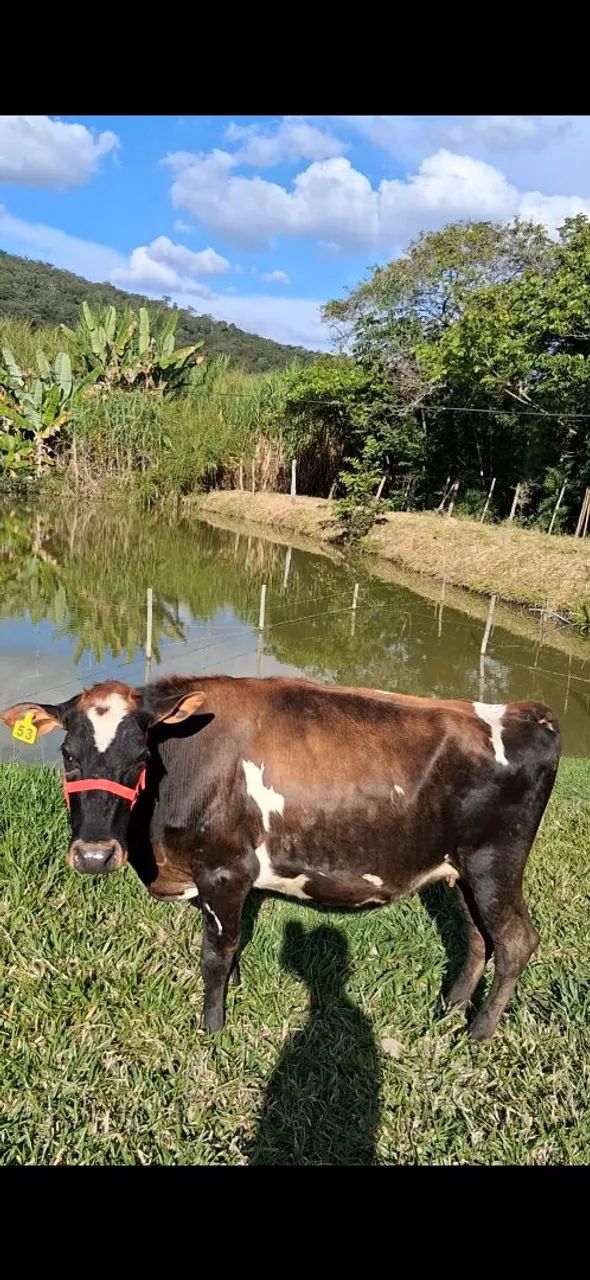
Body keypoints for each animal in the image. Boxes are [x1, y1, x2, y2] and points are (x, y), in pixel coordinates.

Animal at [1, 675, 561, 1042]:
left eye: (140, 757)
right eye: (68, 756)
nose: (95, 855)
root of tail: (527, 711)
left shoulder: (226, 869)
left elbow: (214, 952)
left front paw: (212, 1028)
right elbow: (229, 944)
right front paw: (233, 989)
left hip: (494, 862)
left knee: (515, 940)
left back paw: (478, 1032)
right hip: (459, 869)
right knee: (477, 935)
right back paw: (449, 1008)